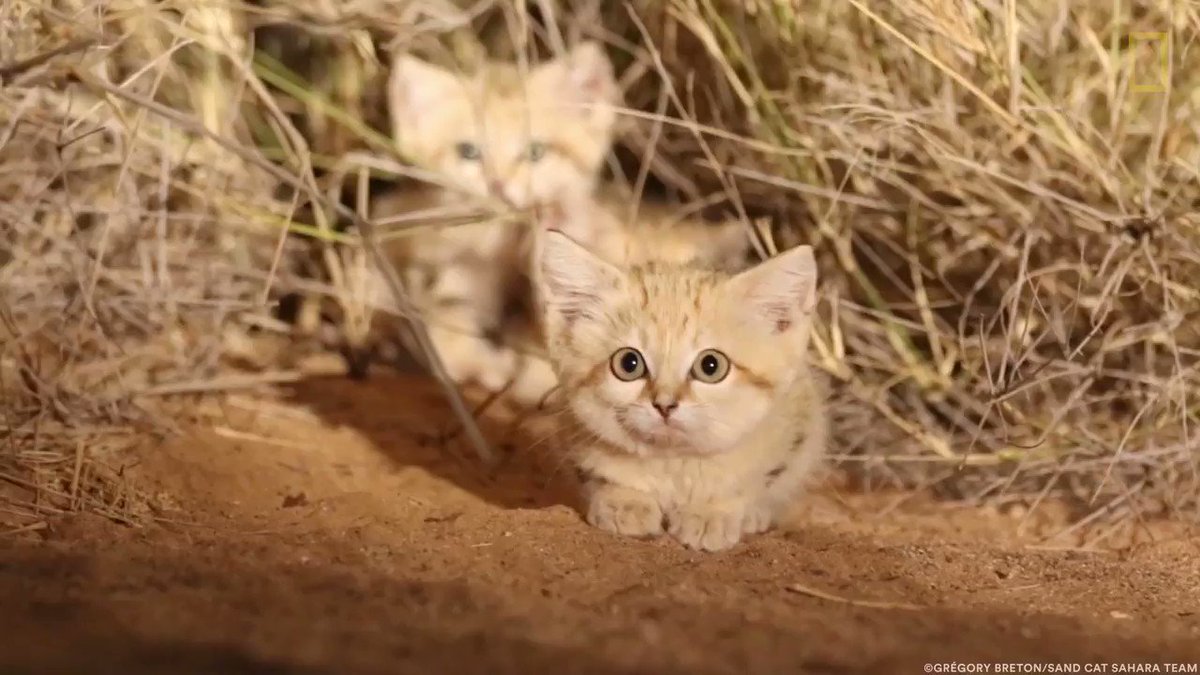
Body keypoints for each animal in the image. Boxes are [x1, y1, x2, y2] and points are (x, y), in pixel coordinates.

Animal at [532, 228, 825, 550]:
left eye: (711, 365)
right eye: (628, 363)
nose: (665, 405)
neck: (672, 464)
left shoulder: (794, 432)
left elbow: (752, 483)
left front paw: (712, 512)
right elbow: (603, 476)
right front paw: (625, 501)